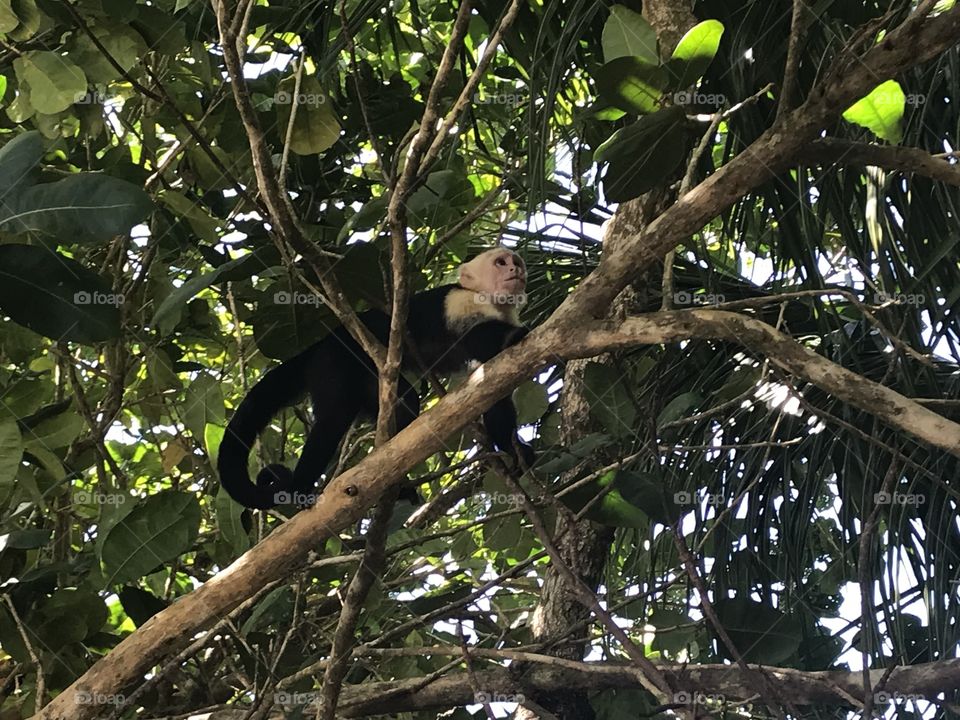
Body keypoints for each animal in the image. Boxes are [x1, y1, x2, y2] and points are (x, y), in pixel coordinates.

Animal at [217, 247, 534, 509]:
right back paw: (298, 489)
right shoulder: (459, 301)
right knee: (334, 418)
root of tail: (324, 342)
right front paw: (515, 335)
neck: (490, 300)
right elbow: (474, 337)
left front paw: (514, 449)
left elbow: (493, 392)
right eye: (500, 262)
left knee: (404, 403)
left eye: (515, 262)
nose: (515, 269)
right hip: (333, 363)